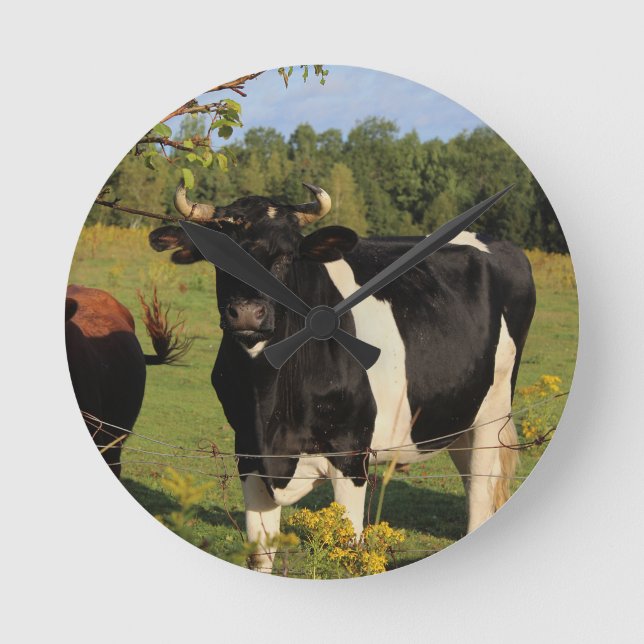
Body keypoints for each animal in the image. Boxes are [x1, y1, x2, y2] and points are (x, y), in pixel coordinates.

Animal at [149, 180, 536, 571]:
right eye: (217, 255)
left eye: (288, 255)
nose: (246, 313)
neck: (270, 404)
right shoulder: (248, 450)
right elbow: (261, 554)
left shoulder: (351, 450)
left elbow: (347, 551)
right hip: (457, 414)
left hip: (493, 412)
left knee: (481, 492)